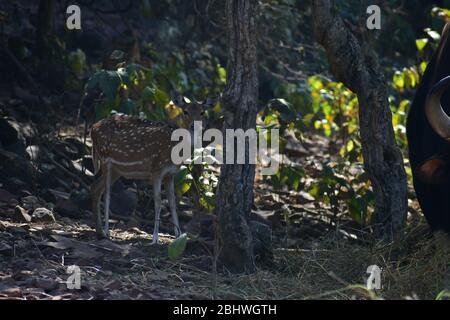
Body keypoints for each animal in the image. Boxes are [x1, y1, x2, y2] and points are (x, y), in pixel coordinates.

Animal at [90, 94, 217, 241]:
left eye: (202, 112)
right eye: (185, 111)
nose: (194, 126)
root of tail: (92, 128)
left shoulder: (170, 174)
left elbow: (172, 203)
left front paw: (178, 234)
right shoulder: (156, 169)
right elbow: (158, 202)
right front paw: (155, 238)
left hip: (118, 169)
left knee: (96, 188)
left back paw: (99, 231)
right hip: (105, 158)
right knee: (107, 194)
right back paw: (106, 231)